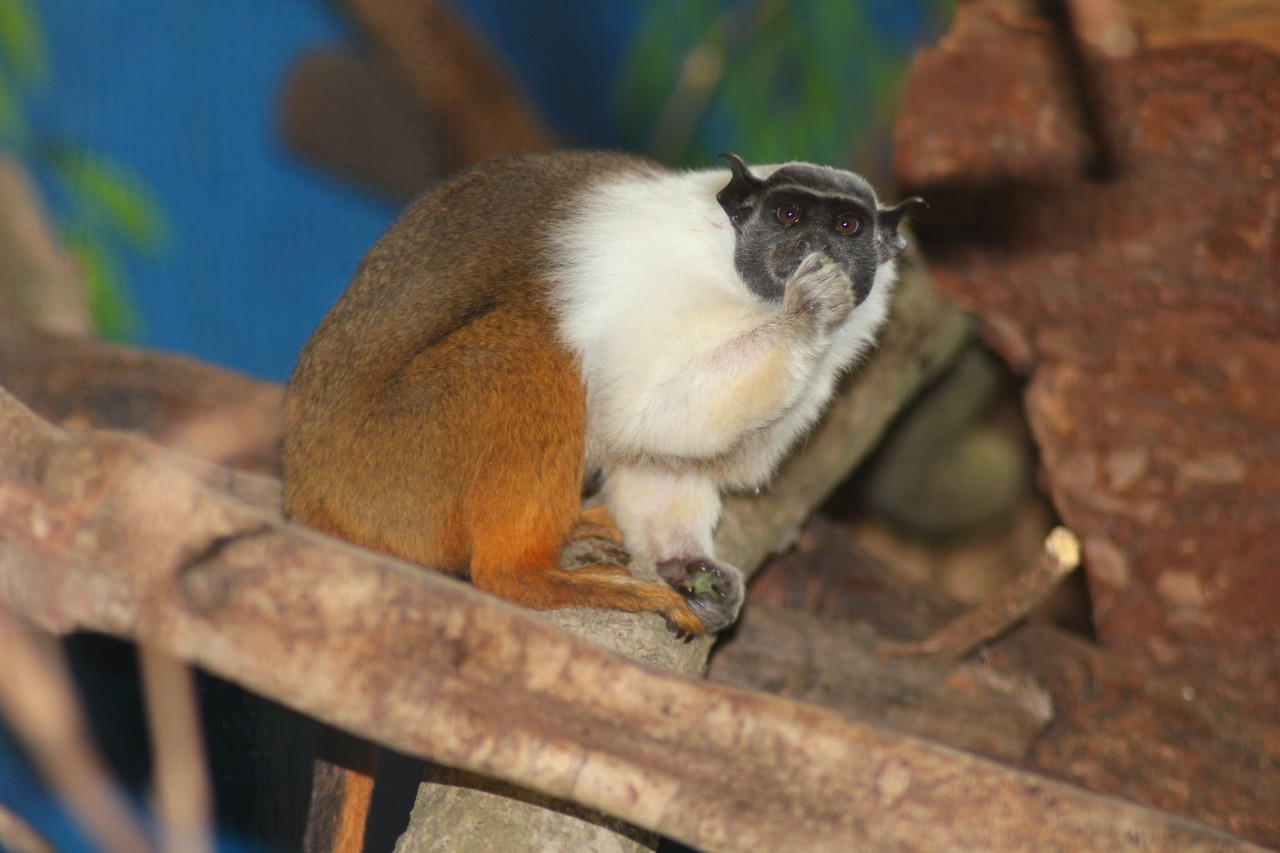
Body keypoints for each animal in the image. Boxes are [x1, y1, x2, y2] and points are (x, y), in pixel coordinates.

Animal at [281, 149, 921, 635]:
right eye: (789, 216)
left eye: (846, 227)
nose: (818, 250)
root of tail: (307, 491)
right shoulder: (671, 284)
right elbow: (651, 414)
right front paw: (807, 313)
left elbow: (659, 456)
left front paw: (685, 561)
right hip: (391, 474)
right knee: (533, 345)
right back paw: (523, 576)